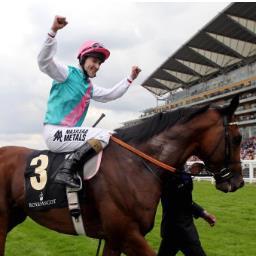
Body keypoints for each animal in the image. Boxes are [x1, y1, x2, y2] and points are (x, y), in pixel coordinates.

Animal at [0, 95, 244, 255]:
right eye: (238, 138)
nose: (239, 182)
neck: (136, 165)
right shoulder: (127, 234)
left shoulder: (113, 239)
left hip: (15, 215)